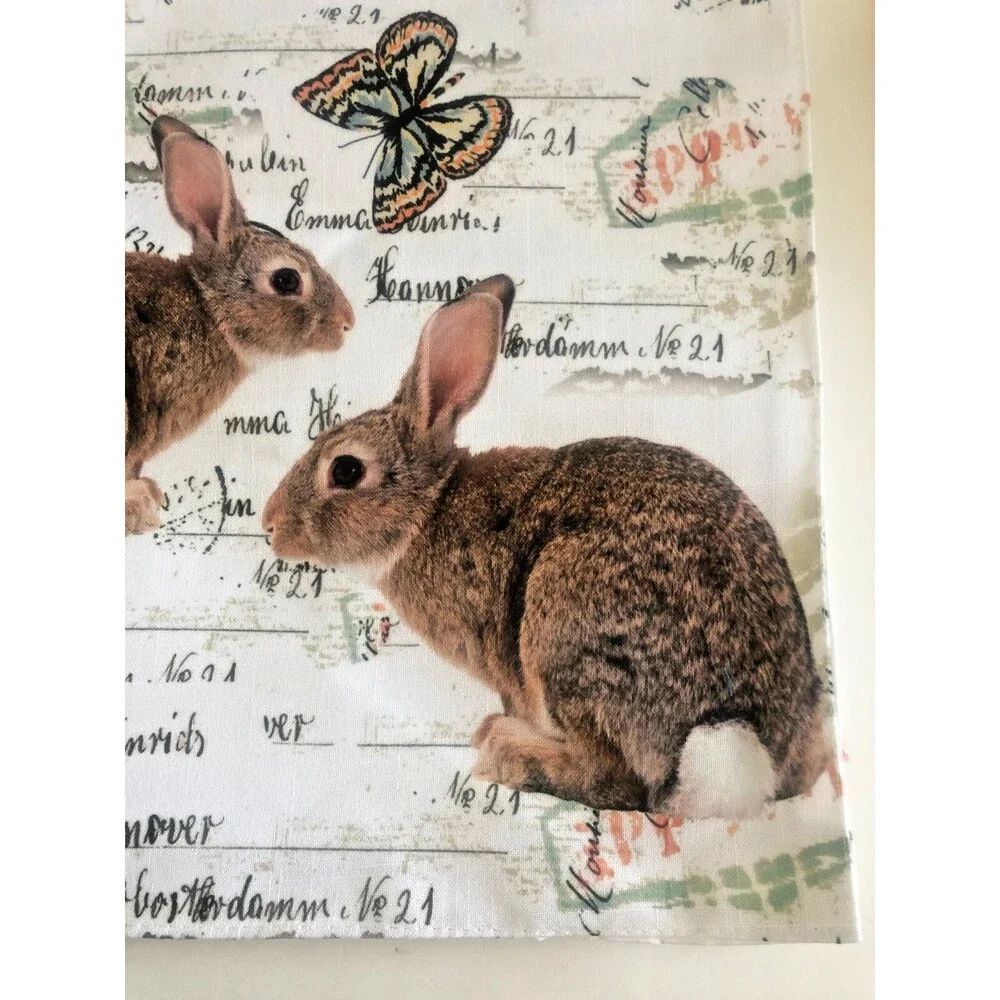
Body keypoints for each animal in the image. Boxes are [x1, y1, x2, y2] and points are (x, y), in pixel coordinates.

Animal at [263, 276, 832, 817]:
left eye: (346, 470)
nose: (269, 525)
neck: (430, 508)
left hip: (563, 626)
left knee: (617, 781)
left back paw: (505, 749)